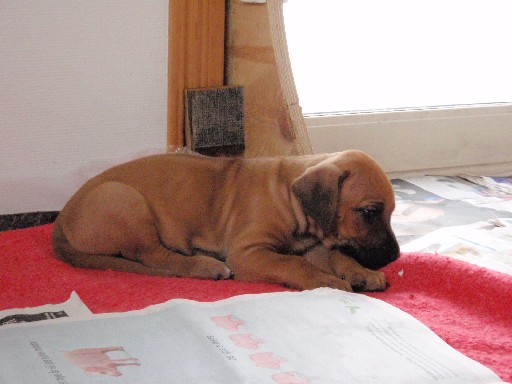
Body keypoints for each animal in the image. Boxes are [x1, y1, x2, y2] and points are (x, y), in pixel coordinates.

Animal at [52, 150, 398, 292]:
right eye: (369, 212)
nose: (396, 256)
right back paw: (205, 265)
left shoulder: (313, 245)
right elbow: (292, 264)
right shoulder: (247, 252)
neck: (288, 198)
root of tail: (62, 217)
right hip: (124, 200)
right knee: (157, 256)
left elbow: (337, 255)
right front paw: (325, 282)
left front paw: (361, 273)